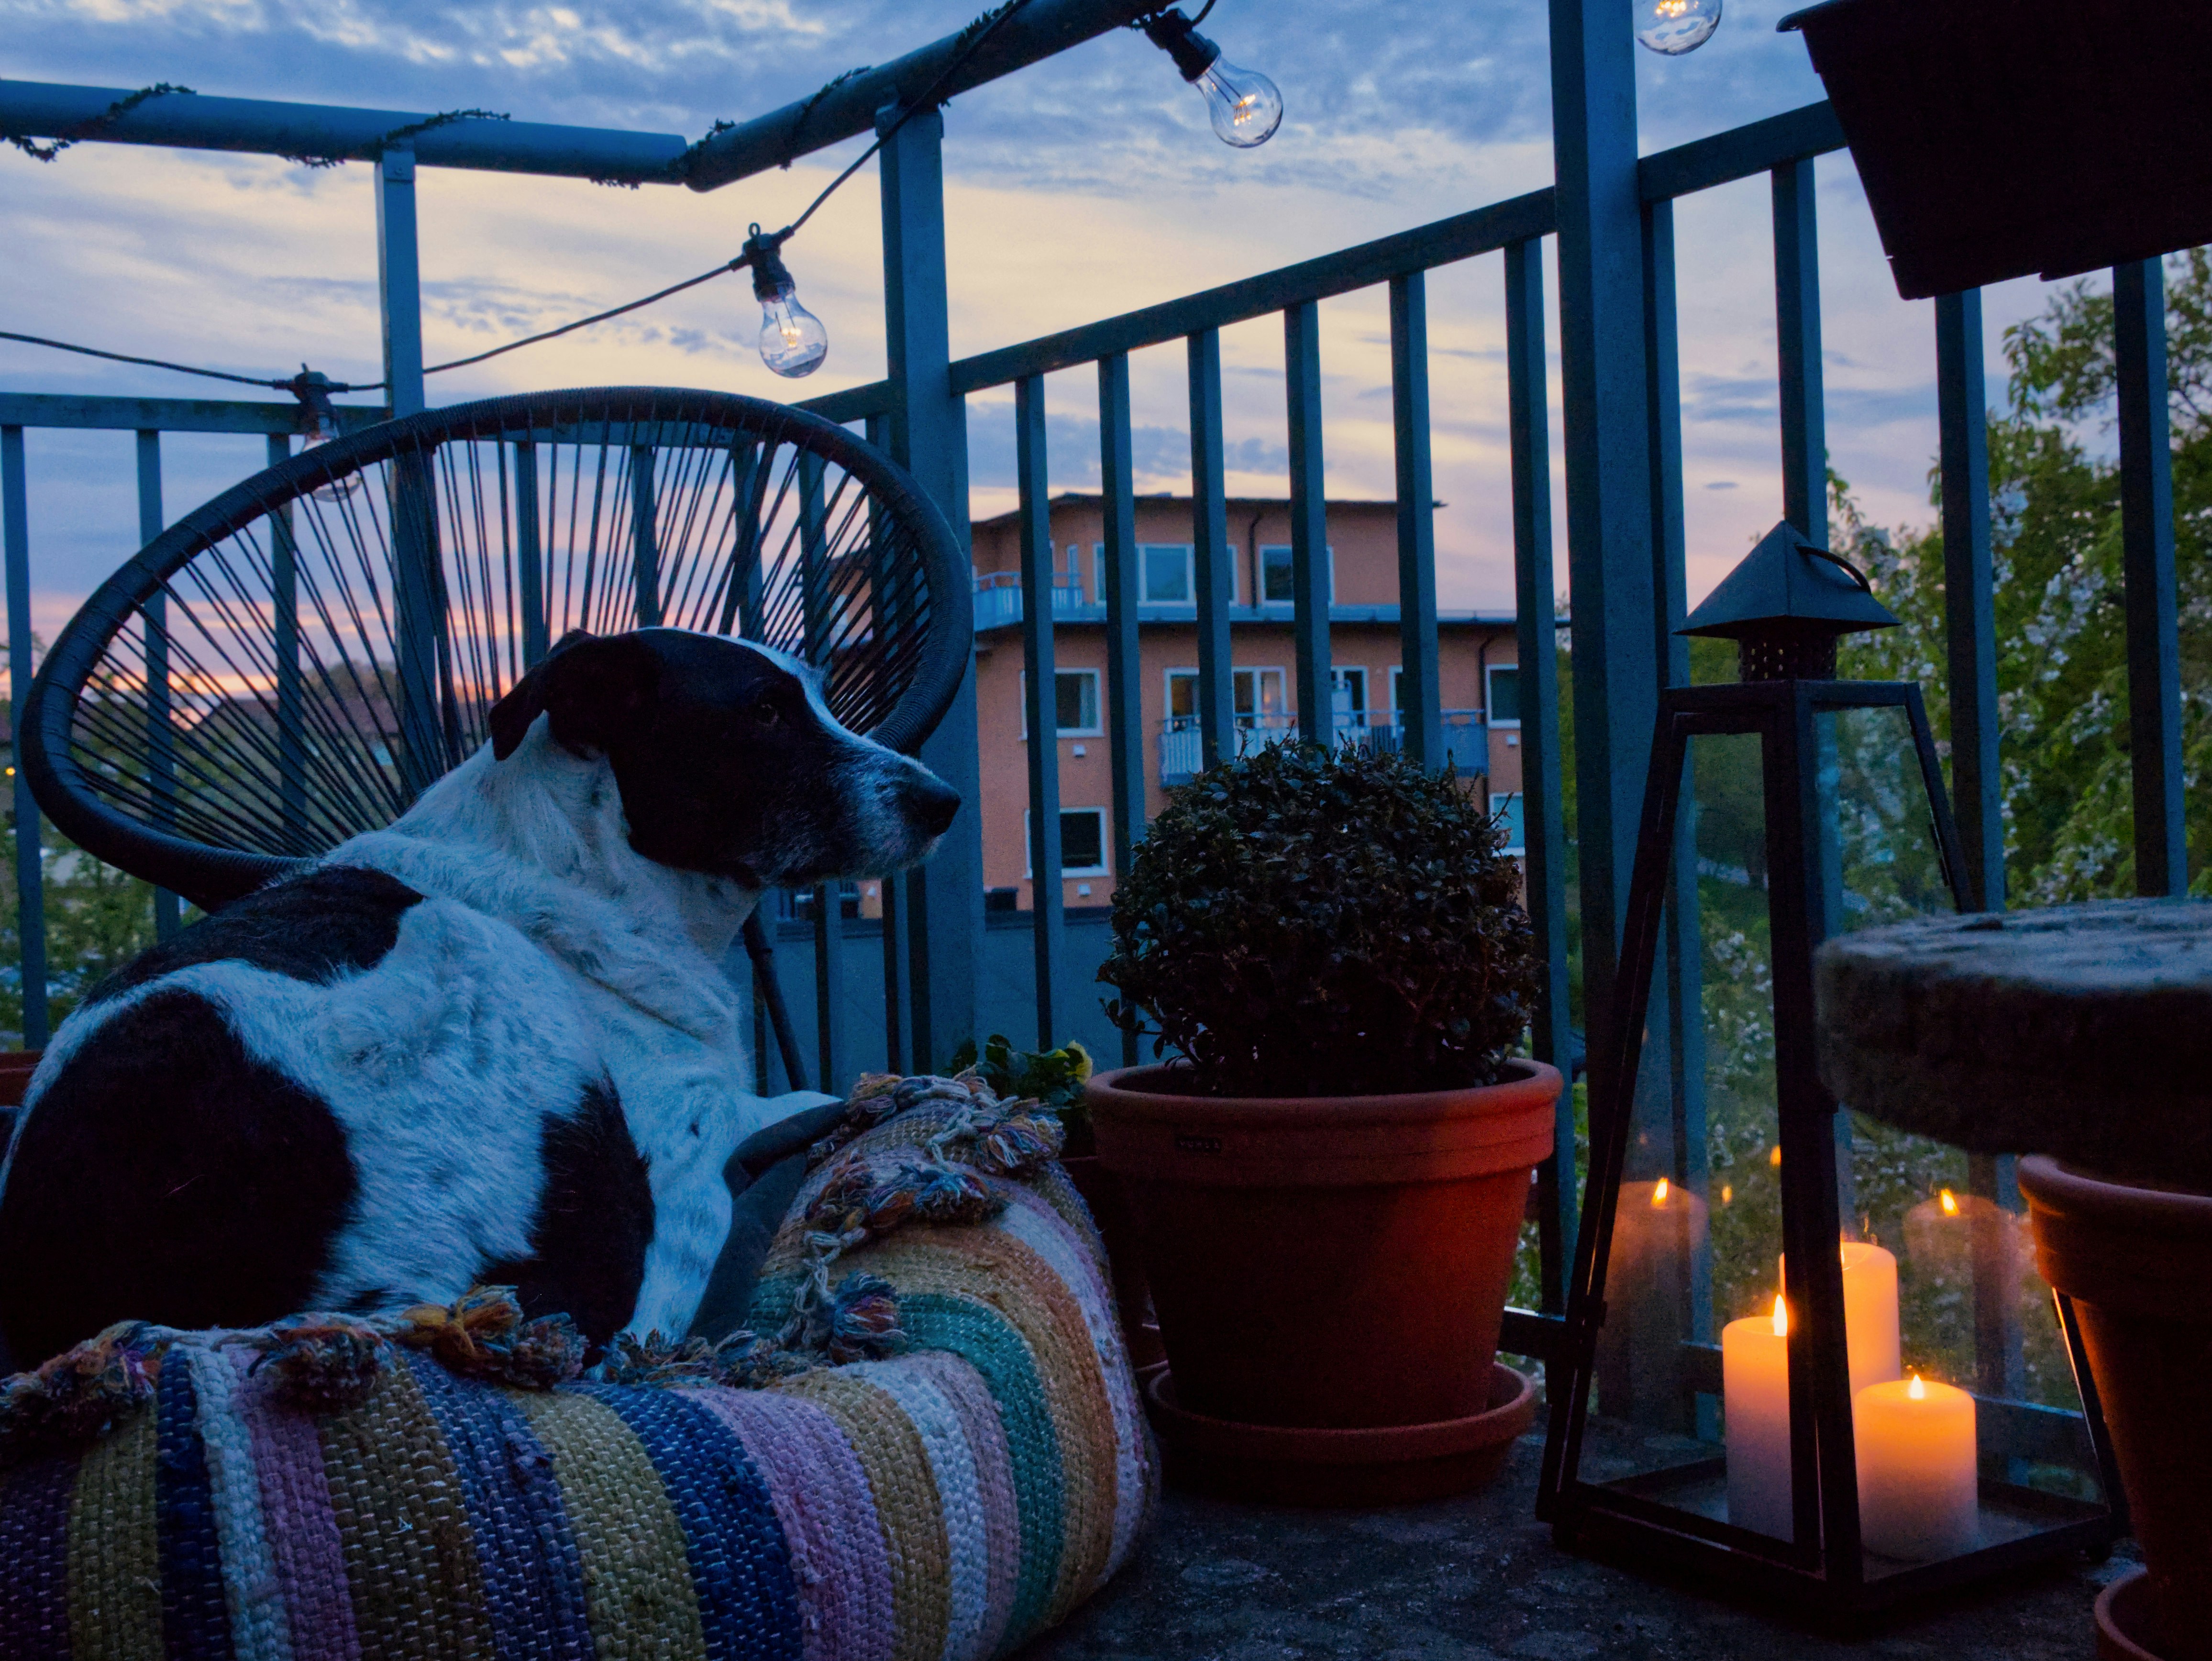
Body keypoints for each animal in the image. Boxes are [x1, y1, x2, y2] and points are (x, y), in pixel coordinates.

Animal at [0, 627, 960, 1369]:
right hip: (472, 963)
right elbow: (801, 1100)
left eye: (816, 698)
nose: (944, 800)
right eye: (764, 712)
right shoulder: (677, 1132)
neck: (585, 869)